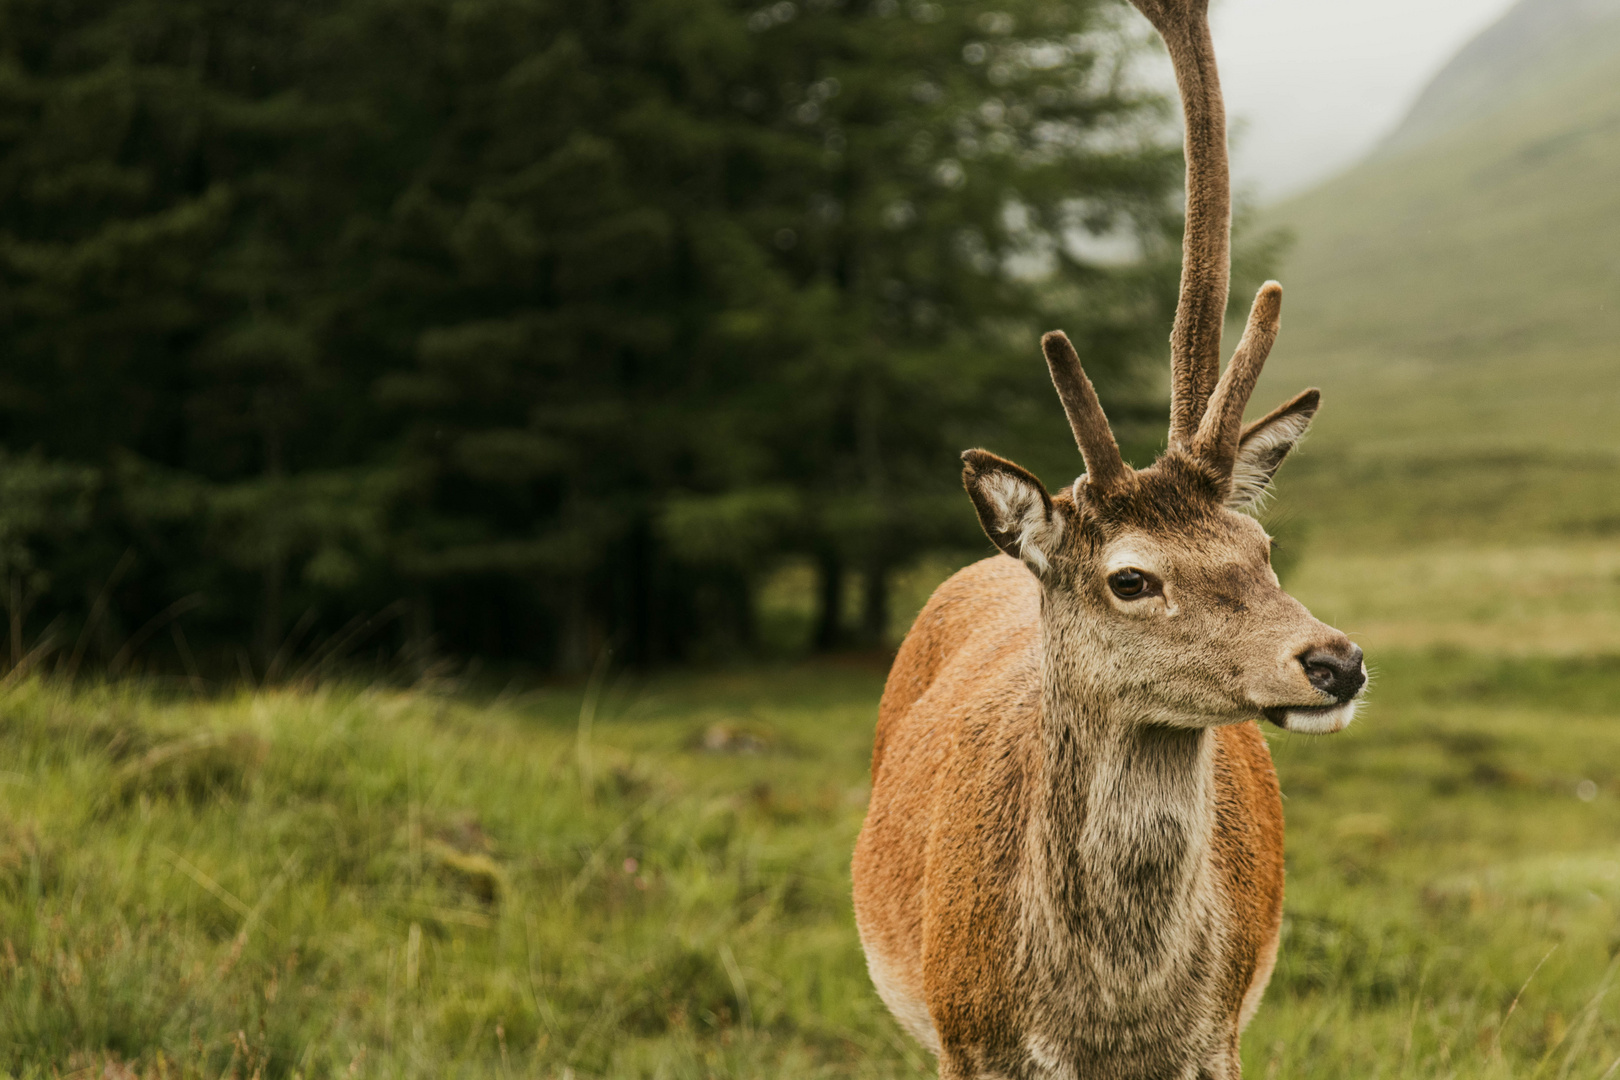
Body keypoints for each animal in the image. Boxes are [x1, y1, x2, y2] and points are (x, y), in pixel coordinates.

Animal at [848, 2, 1367, 1080]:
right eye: (1131, 578)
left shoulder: (1222, 1035)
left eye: (1261, 549)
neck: (1110, 1026)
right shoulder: (965, 1038)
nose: (1337, 661)